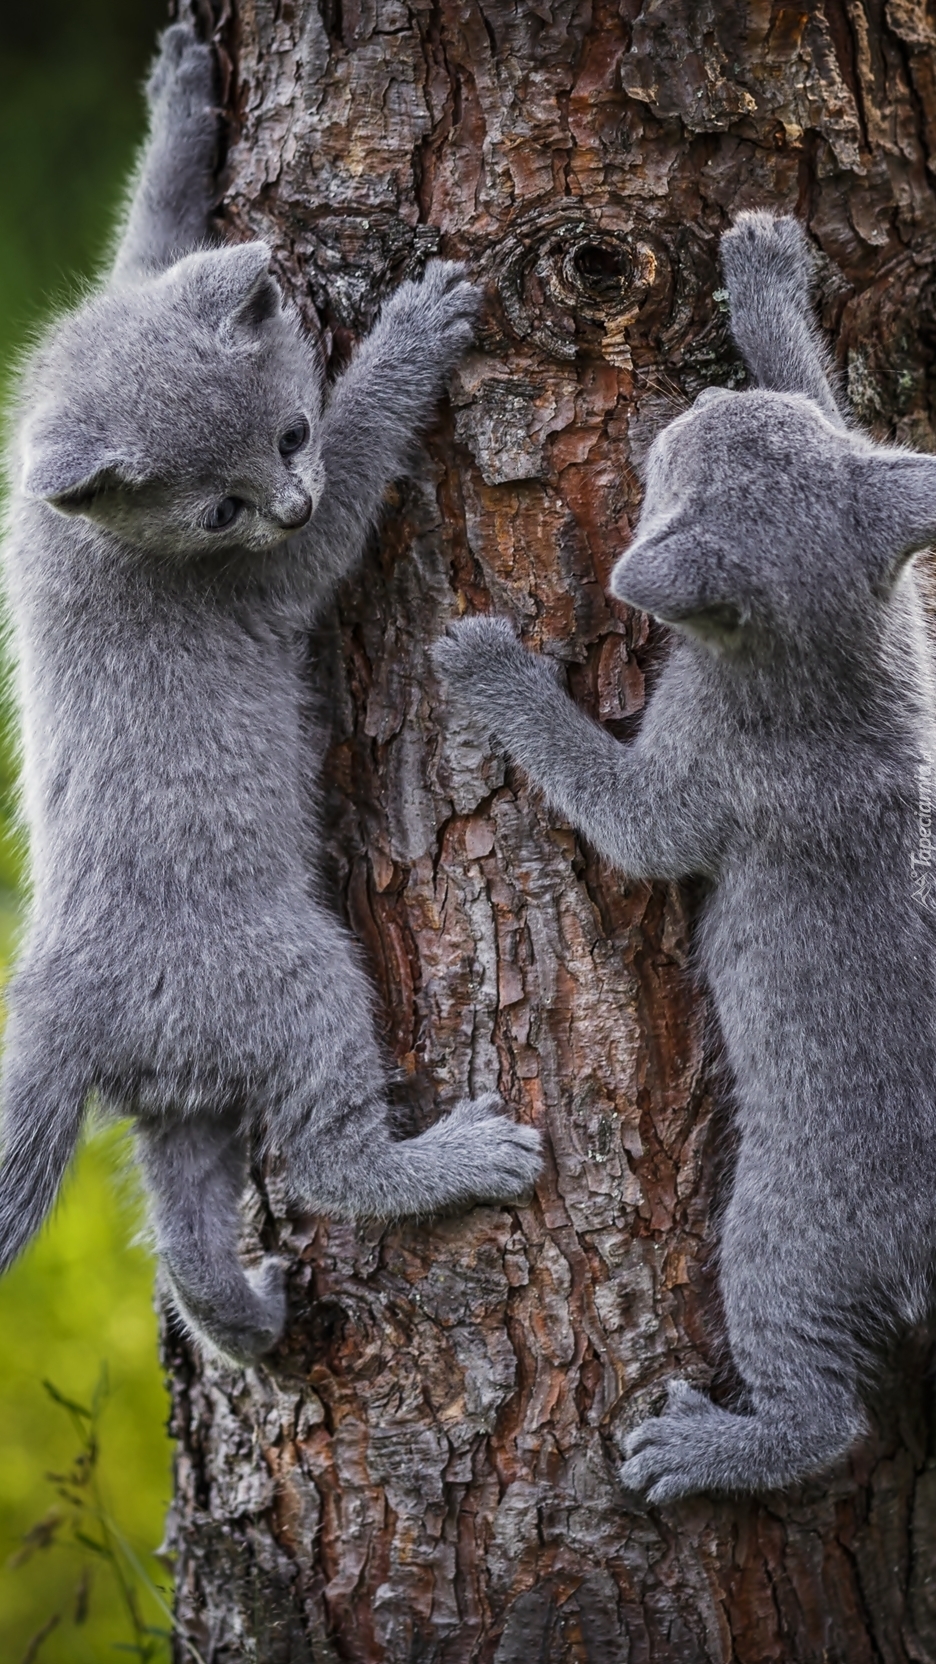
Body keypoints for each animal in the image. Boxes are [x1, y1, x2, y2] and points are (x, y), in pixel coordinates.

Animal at [0, 22, 539, 1364]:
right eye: (221, 508)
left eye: (288, 436)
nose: (286, 502)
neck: (76, 529)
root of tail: (56, 990)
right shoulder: (278, 578)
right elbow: (356, 480)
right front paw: (413, 331)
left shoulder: (129, 282)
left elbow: (150, 229)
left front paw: (185, 97)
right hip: (302, 976)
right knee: (331, 1155)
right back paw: (456, 1158)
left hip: (181, 1097)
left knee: (186, 1233)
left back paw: (247, 1315)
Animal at [433, 214, 936, 1504]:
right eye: (731, 423)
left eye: (666, 472)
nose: (699, 390)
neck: (834, 657)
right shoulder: (909, 598)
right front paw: (766, 282)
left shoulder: (683, 787)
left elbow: (614, 802)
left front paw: (491, 665)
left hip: (780, 1237)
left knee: (826, 1416)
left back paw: (710, 1445)